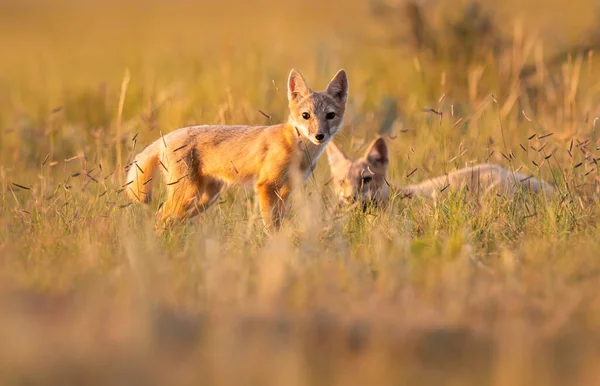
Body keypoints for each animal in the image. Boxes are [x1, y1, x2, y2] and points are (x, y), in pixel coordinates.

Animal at [127, 68, 352, 231]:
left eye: (330, 116)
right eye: (306, 115)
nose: (319, 136)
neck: (298, 150)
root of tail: (167, 136)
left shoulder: (286, 190)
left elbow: (279, 222)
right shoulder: (266, 186)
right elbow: (271, 226)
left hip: (205, 198)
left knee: (174, 220)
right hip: (187, 195)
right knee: (161, 217)